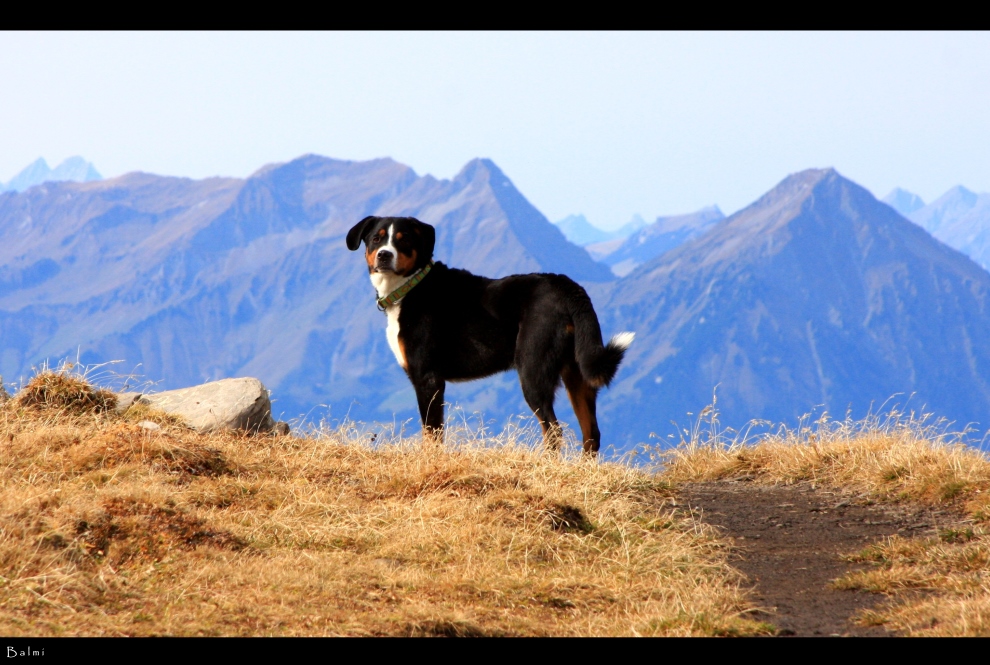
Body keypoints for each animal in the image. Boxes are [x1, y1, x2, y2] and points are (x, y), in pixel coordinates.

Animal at [346, 215, 636, 454]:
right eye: (376, 239)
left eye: (403, 239)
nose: (384, 255)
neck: (409, 287)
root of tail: (566, 286)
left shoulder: (427, 378)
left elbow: (432, 433)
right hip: (577, 374)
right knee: (591, 434)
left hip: (533, 371)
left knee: (553, 431)